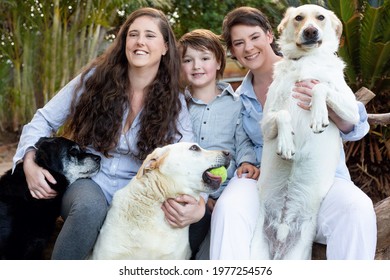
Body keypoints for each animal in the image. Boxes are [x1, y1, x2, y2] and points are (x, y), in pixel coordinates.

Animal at [251, 4, 362, 260]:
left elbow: (320, 86)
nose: (310, 31)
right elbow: (283, 114)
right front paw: (286, 144)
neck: (306, 61)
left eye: (320, 17)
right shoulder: (266, 123)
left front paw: (319, 114)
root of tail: (281, 232)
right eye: (299, 18)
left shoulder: (352, 112)